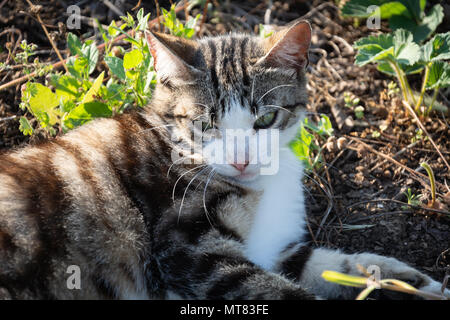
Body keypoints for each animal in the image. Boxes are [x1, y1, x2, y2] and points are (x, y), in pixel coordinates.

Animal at [0, 20, 448, 300]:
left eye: (265, 119)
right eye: (204, 124)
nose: (241, 160)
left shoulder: (273, 248)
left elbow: (330, 264)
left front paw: (410, 280)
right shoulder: (186, 249)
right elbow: (273, 289)